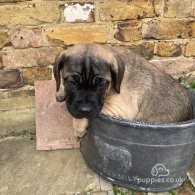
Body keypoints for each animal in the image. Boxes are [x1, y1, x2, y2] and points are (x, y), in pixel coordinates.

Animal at [53, 44, 193, 139]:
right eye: (72, 82)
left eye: (102, 84)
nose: (85, 109)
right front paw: (61, 91)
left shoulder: (121, 109)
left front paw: (78, 125)